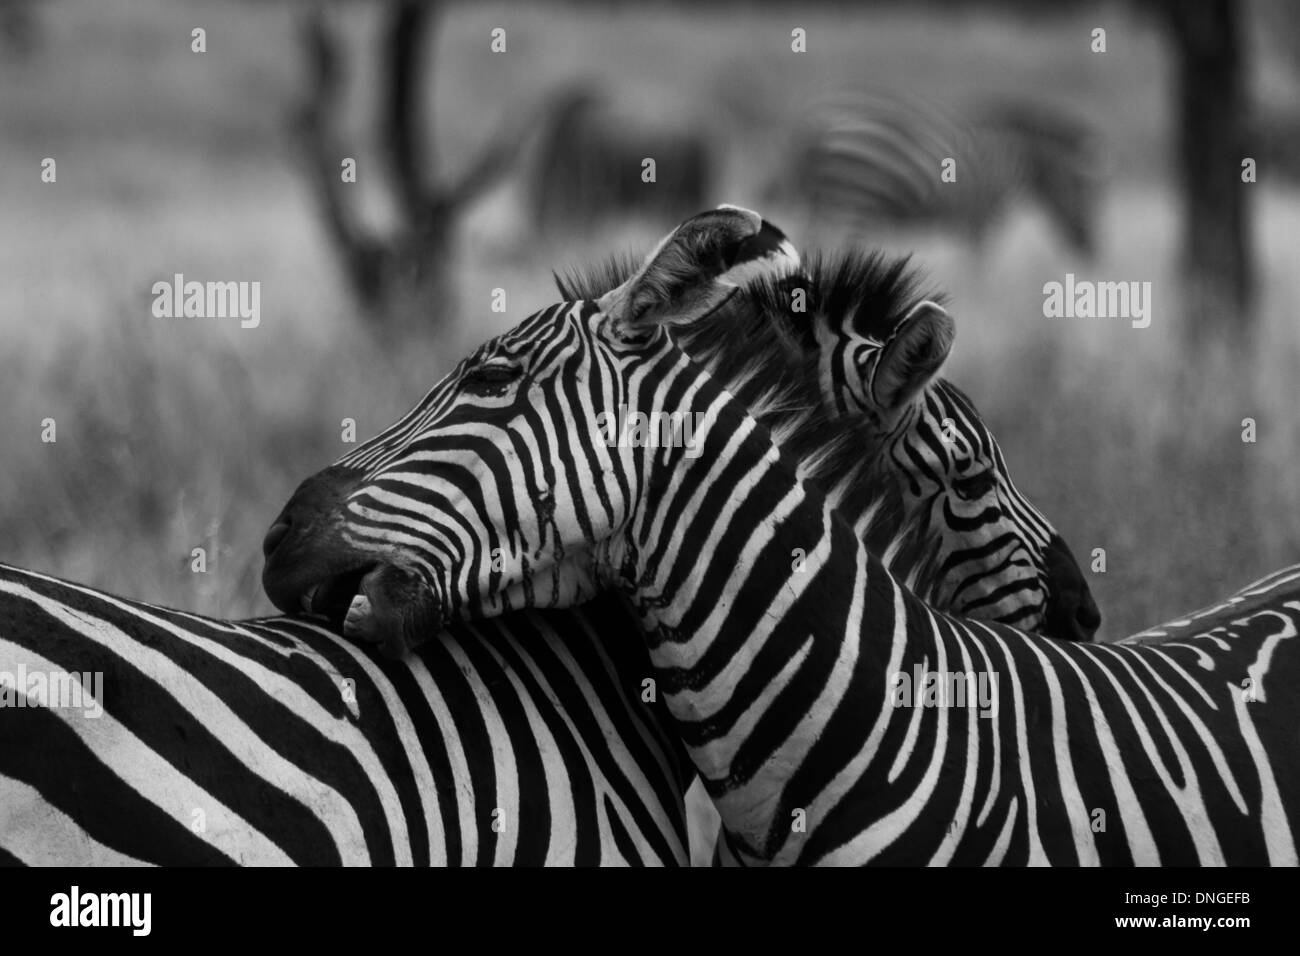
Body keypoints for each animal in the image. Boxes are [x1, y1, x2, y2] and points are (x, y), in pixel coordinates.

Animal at [774, 87, 1102, 254]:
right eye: (1085, 188)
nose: (1091, 251)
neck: (1012, 157)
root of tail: (816, 124)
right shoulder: (983, 214)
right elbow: (979, 269)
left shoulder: (969, 219)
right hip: (854, 199)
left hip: (823, 199)